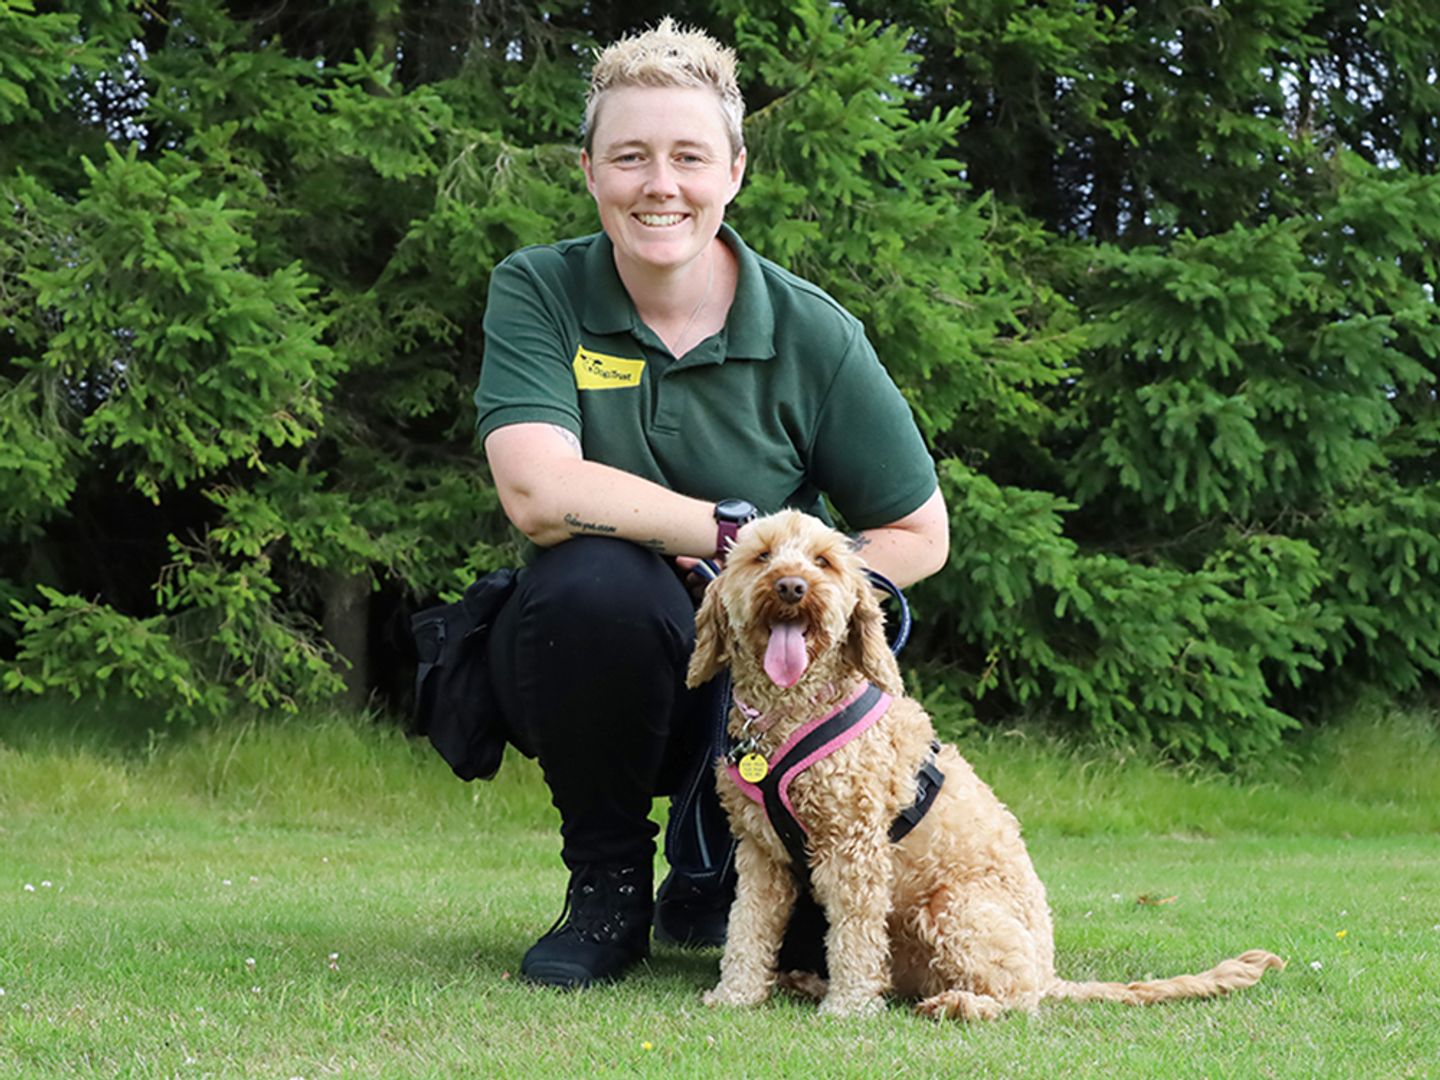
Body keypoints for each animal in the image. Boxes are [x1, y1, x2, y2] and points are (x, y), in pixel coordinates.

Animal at [685, 512, 1284, 1025]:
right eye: (761, 556)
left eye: (824, 561)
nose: (791, 586)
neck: (794, 712)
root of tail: (1051, 973)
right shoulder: (761, 855)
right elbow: (747, 927)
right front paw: (736, 993)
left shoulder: (855, 852)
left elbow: (853, 934)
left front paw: (849, 1006)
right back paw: (814, 982)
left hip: (953, 905)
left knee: (1017, 997)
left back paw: (959, 1004)